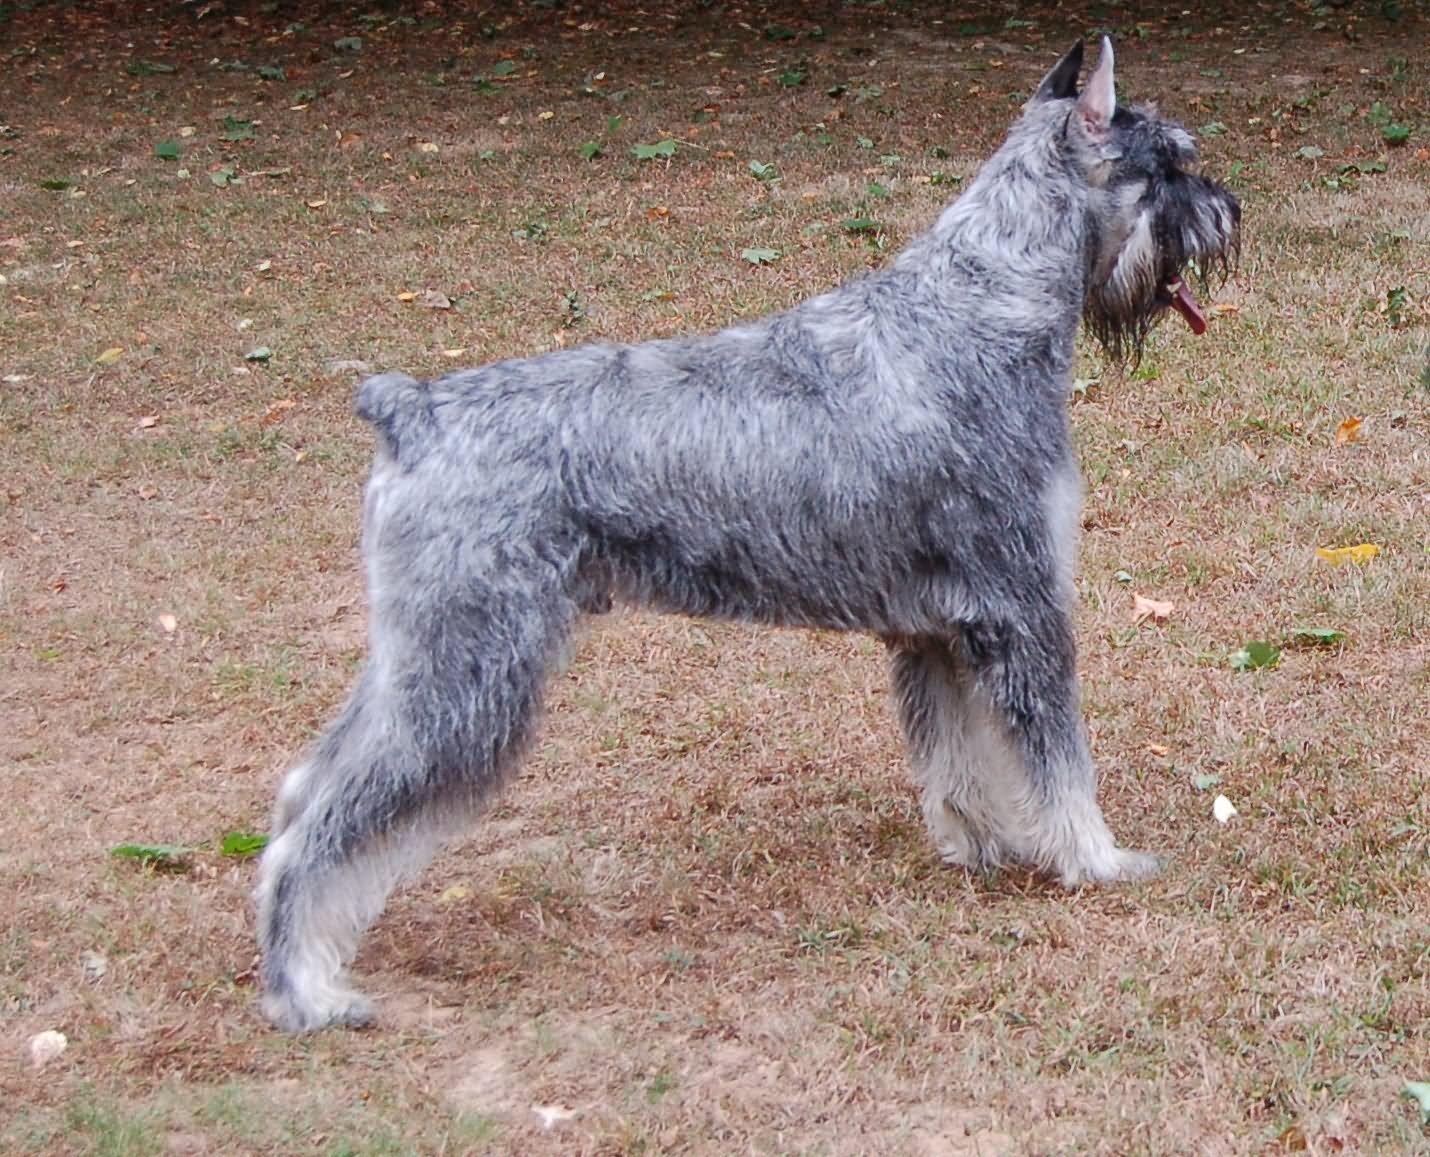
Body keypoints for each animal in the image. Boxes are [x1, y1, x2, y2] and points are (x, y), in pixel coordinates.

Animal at [257, 36, 1241, 1029]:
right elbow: (1056, 757)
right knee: (325, 823)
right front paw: (1097, 859)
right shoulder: (1023, 607)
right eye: (1170, 164)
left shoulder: (938, 632)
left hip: (419, 655)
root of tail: (409, 411)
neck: (985, 304)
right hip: (467, 676)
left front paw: (985, 847)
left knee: (302, 791)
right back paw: (308, 987)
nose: (1229, 213)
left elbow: (959, 760)